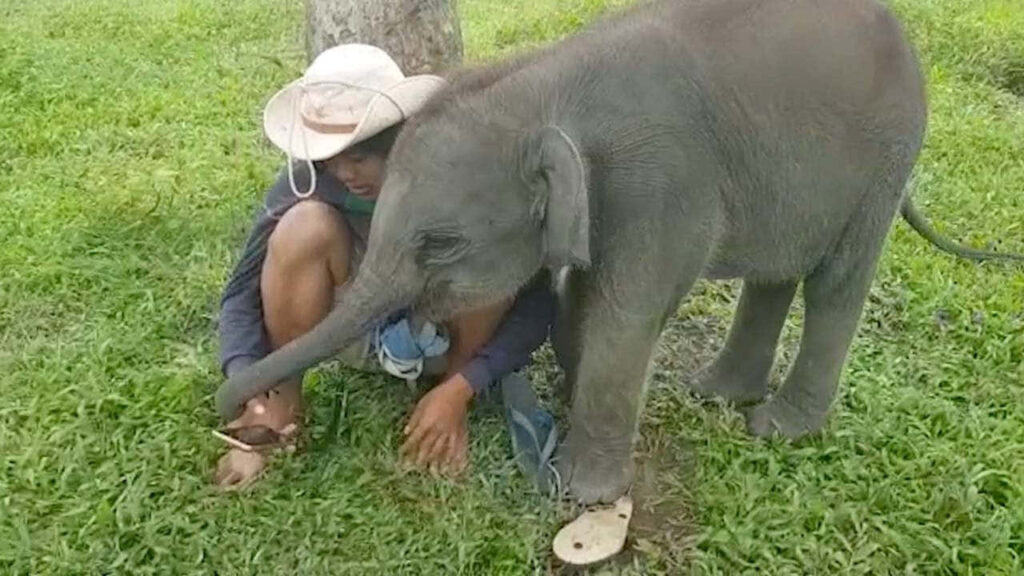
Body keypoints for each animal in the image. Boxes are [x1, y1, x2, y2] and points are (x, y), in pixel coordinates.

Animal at [217, 0, 1023, 504]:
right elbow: (578, 298)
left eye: (440, 243)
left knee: (836, 281)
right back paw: (716, 393)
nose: (239, 410)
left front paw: (583, 491)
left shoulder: (663, 181)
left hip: (886, 158)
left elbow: (625, 315)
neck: (545, 83)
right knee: (775, 272)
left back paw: (776, 427)